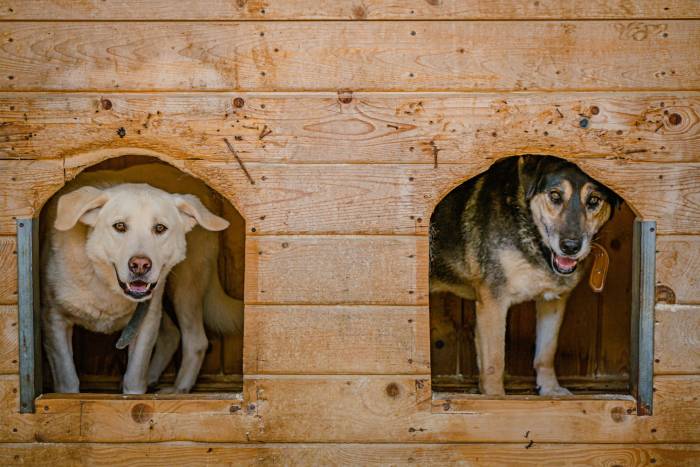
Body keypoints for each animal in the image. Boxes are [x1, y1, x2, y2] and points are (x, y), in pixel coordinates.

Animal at [41, 165, 243, 394]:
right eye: (119, 226)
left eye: (160, 228)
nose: (140, 265)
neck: (105, 284)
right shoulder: (54, 320)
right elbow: (67, 382)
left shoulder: (145, 323)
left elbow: (135, 379)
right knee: (172, 334)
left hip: (185, 286)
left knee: (196, 341)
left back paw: (177, 391)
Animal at [432, 156, 616, 394]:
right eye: (555, 196)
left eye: (594, 200)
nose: (570, 247)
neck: (535, 240)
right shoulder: (493, 302)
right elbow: (494, 362)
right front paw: (495, 398)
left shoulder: (553, 301)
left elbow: (546, 351)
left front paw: (550, 389)